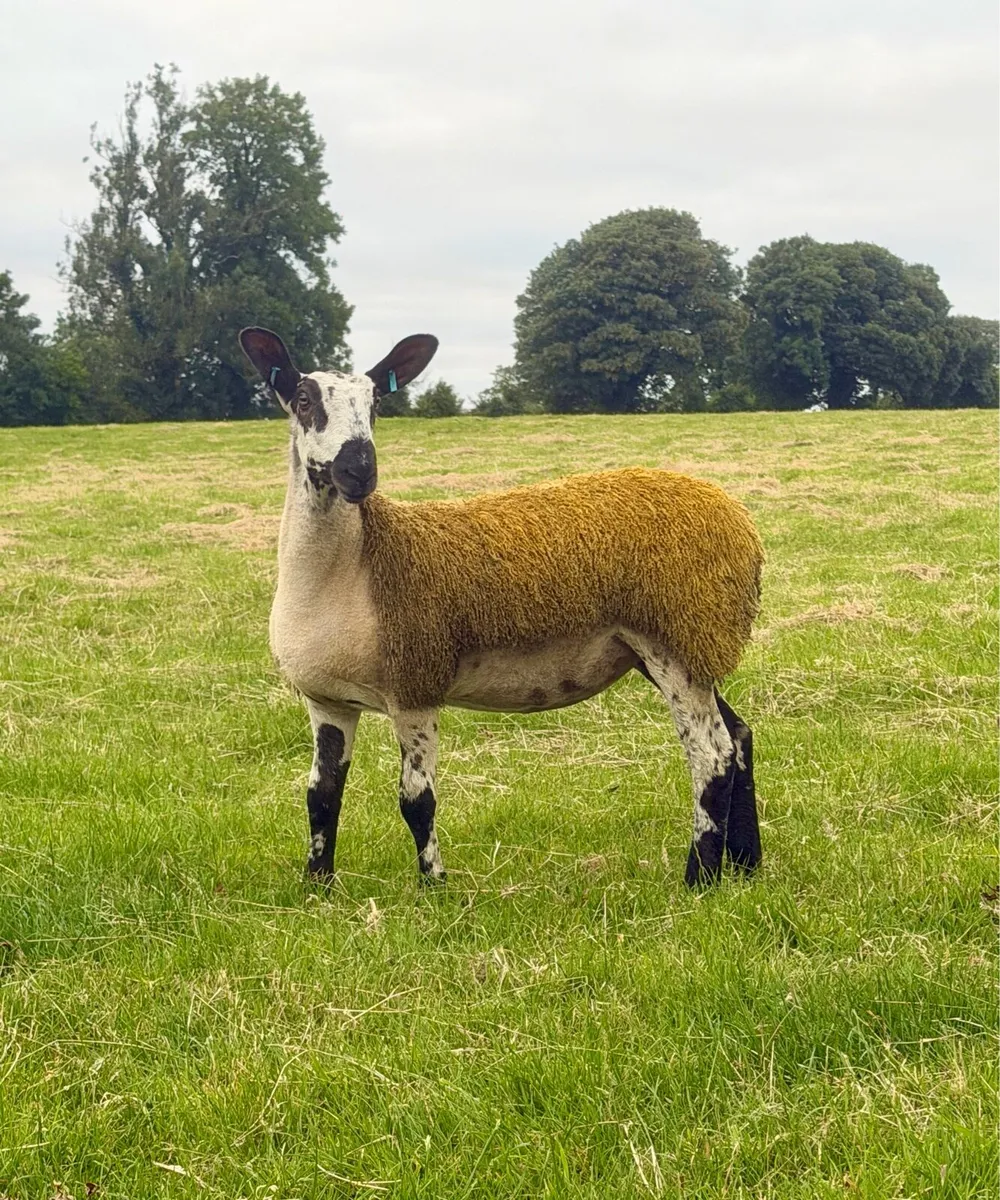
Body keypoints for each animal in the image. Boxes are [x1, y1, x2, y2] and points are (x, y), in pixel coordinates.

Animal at [239, 326, 764, 888]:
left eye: (377, 403)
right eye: (303, 400)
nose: (358, 469)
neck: (350, 571)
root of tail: (740, 522)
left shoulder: (415, 686)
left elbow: (417, 800)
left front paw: (433, 886)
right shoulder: (328, 703)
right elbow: (321, 796)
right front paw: (317, 885)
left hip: (679, 636)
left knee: (711, 755)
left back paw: (699, 878)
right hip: (678, 648)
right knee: (739, 736)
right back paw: (746, 865)